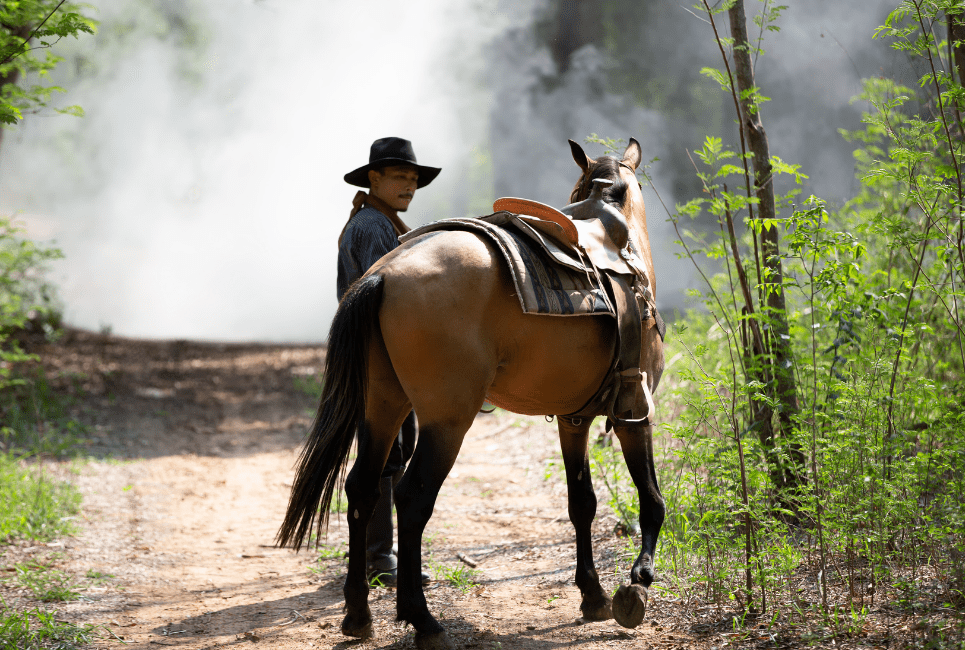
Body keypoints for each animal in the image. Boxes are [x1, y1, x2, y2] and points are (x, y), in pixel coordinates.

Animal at [276, 138, 664, 648]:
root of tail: (384, 274)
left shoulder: (573, 417)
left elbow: (582, 502)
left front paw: (593, 596)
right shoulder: (635, 410)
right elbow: (651, 498)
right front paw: (637, 582)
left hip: (382, 406)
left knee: (362, 488)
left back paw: (358, 615)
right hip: (447, 420)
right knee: (411, 498)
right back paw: (422, 620)